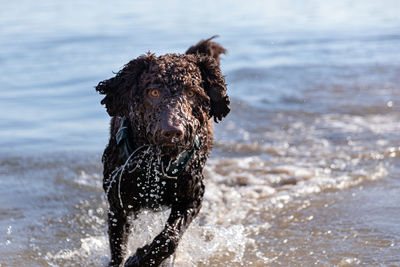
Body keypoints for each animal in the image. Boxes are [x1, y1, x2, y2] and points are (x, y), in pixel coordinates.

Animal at [95, 36, 230, 266]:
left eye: (191, 92)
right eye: (154, 92)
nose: (173, 132)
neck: (158, 162)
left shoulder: (192, 198)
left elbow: (170, 238)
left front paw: (140, 259)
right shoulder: (117, 204)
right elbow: (118, 249)